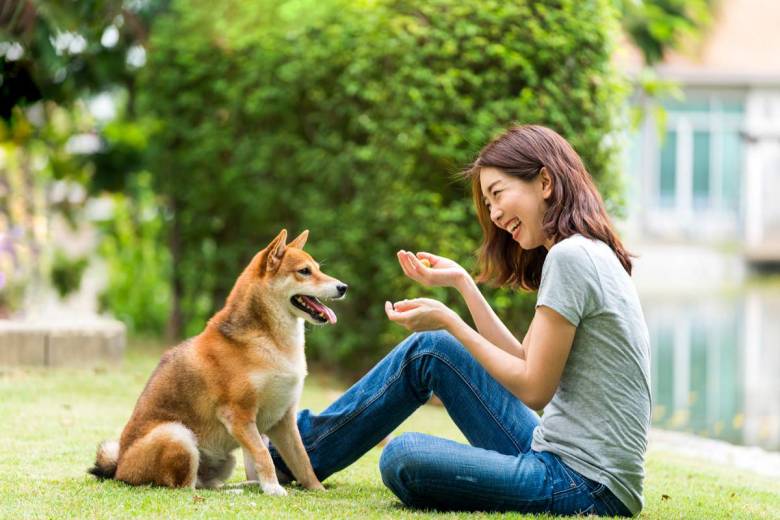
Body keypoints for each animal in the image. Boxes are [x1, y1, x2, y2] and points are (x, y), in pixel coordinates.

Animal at [88, 231, 348, 496]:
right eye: (304, 271)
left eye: (318, 269)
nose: (343, 287)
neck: (269, 341)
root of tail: (120, 468)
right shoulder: (239, 416)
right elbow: (263, 455)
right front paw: (273, 489)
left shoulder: (282, 420)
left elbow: (302, 461)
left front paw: (317, 490)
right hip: (178, 435)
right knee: (186, 488)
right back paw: (236, 490)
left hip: (224, 459)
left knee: (206, 484)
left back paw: (244, 485)